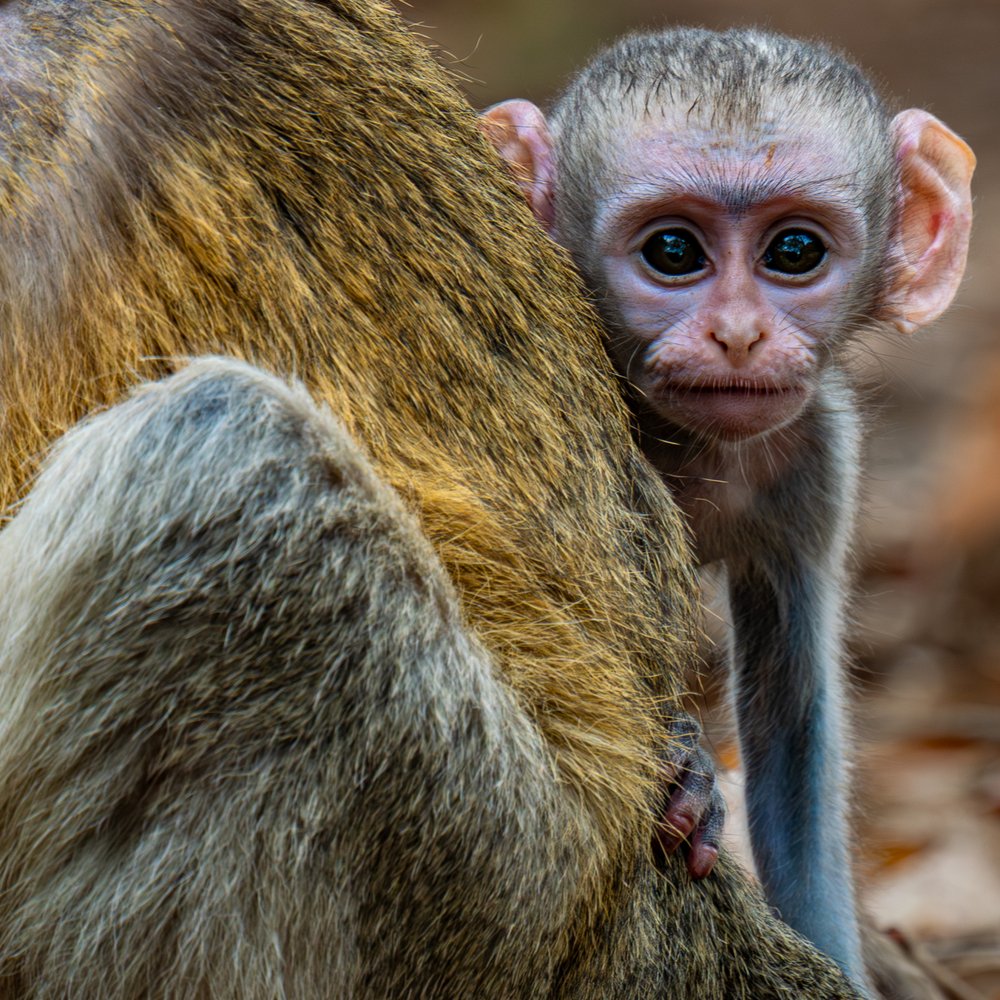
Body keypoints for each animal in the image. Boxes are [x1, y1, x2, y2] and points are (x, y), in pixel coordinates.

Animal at [482, 26, 974, 996]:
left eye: (794, 252)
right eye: (674, 252)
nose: (739, 334)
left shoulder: (818, 450)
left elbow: (793, 721)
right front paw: (687, 770)